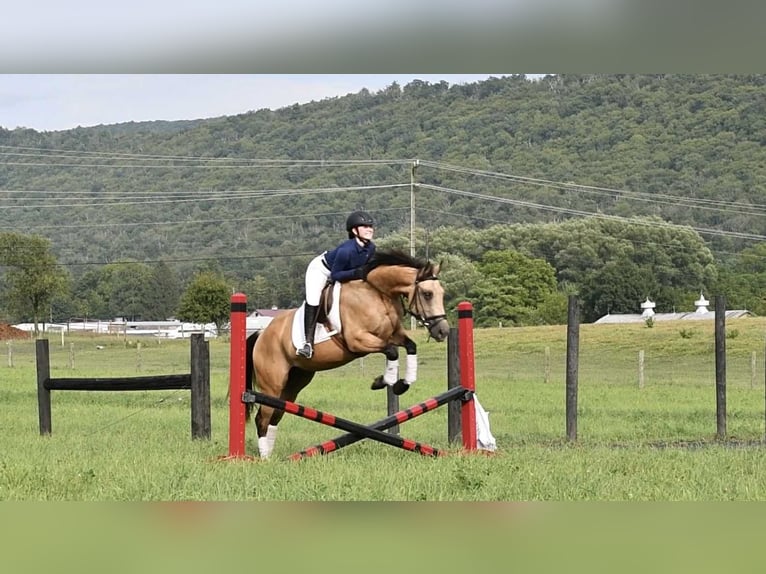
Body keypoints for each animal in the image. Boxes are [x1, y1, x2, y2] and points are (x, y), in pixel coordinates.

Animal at [244, 249, 450, 458]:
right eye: (427, 294)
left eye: (442, 293)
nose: (443, 331)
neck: (378, 294)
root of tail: (262, 335)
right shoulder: (358, 341)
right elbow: (392, 352)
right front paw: (384, 381)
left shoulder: (393, 336)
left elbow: (410, 347)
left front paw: (402, 384)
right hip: (273, 384)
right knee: (262, 418)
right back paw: (264, 458)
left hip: (294, 383)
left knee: (274, 417)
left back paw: (272, 456)